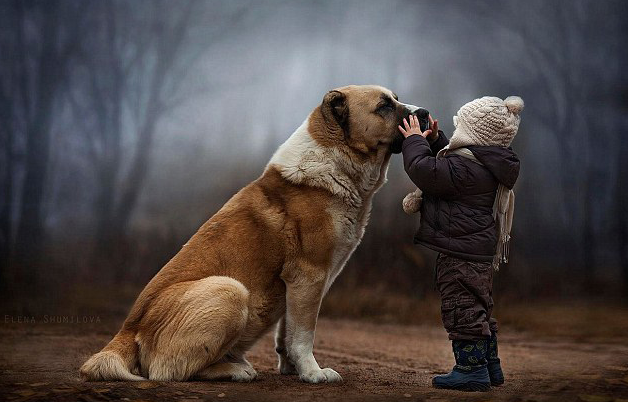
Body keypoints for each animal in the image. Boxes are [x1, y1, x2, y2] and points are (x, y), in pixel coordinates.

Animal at [78, 84, 422, 384]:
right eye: (384, 106)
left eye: (395, 98)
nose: (425, 112)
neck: (336, 161)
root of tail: (127, 330)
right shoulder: (309, 275)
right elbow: (304, 334)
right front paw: (313, 373)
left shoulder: (297, 286)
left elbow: (287, 332)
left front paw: (292, 368)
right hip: (230, 290)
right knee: (169, 371)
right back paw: (235, 370)